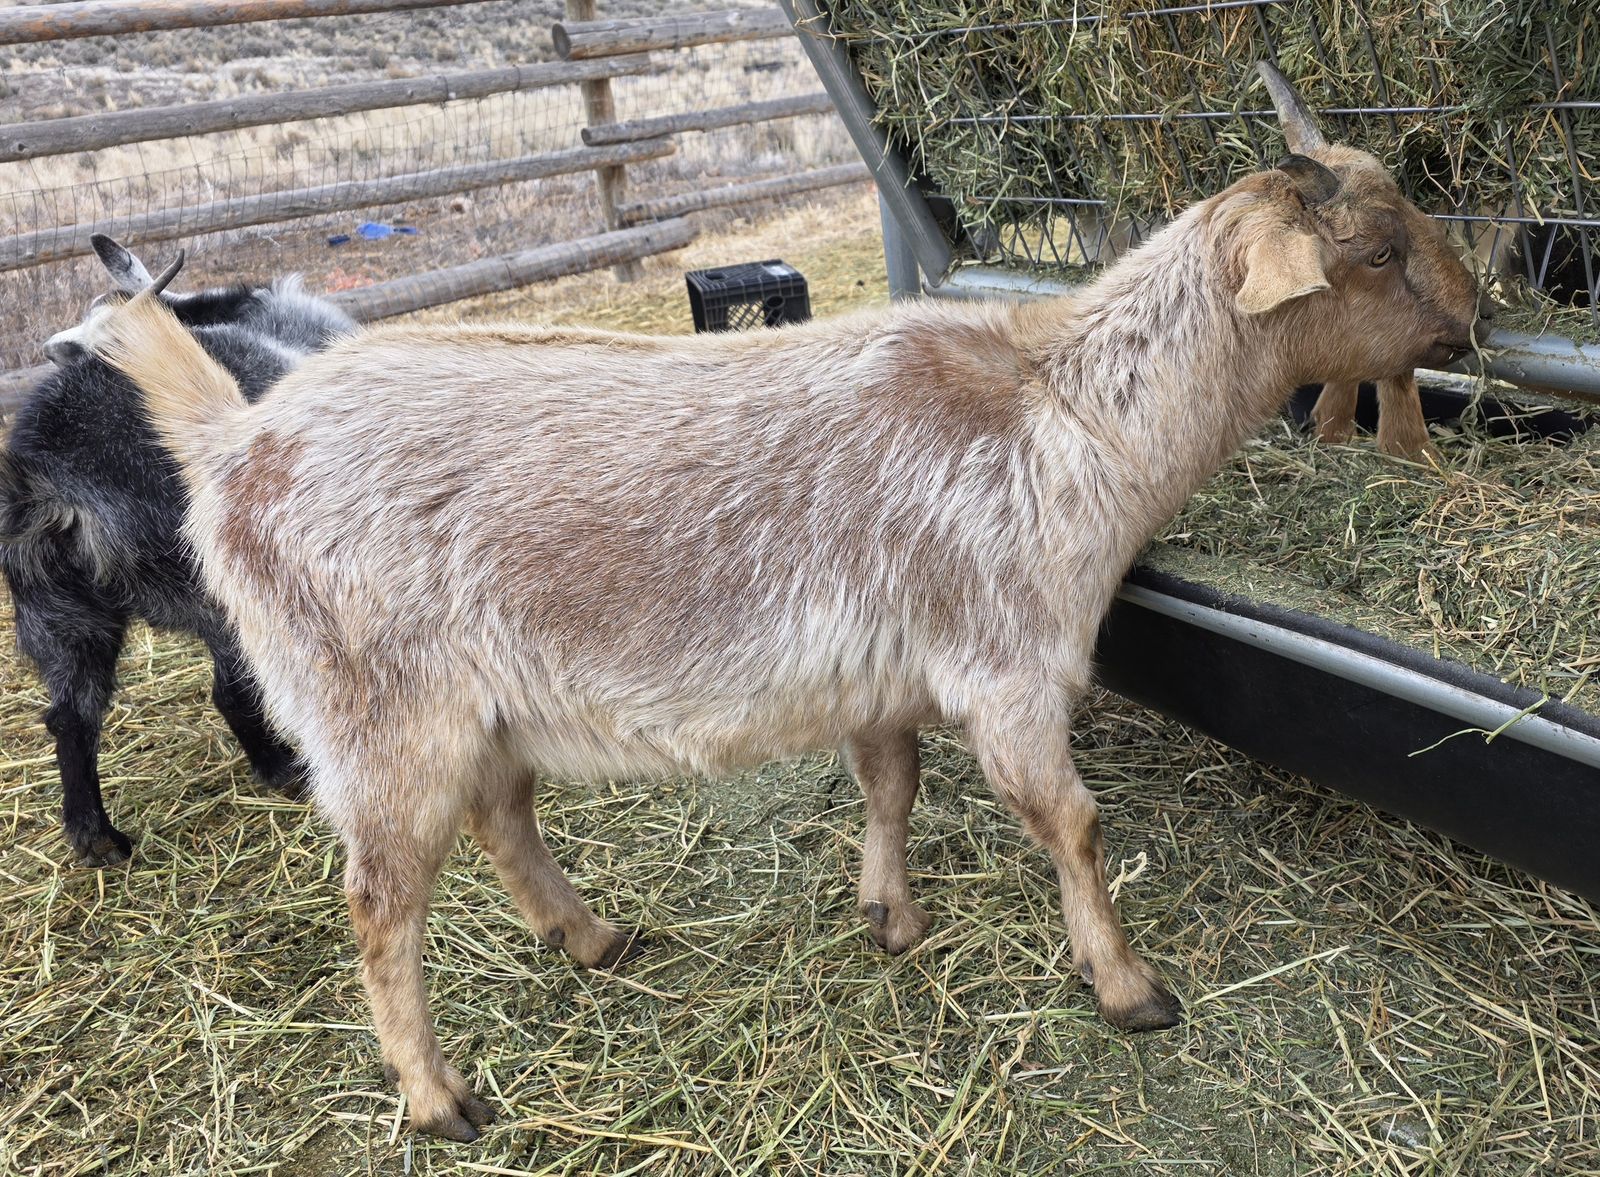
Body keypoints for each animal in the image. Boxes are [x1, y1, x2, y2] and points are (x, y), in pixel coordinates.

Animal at [1, 235, 354, 865]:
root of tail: (47, 483)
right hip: (216, 584)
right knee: (230, 691)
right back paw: (283, 768)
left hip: (56, 612)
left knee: (70, 717)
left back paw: (96, 839)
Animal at [80, 66, 1480, 1141]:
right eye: (1372, 252)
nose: (1470, 324)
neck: (1066, 408)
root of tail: (232, 443)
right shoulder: (1011, 663)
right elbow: (1070, 824)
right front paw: (1128, 986)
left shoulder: (887, 670)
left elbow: (890, 785)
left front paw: (891, 917)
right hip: (374, 710)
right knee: (381, 899)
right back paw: (438, 1097)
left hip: (477, 703)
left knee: (500, 817)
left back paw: (592, 939)